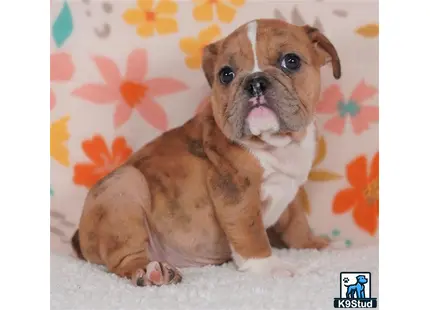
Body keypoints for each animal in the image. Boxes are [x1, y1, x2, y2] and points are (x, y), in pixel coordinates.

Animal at [70, 18, 340, 286]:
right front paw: (269, 266)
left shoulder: (291, 192)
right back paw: (151, 271)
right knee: (125, 260)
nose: (254, 82)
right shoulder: (236, 192)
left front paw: (313, 244)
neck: (275, 143)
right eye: (226, 74)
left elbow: (297, 222)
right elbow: (251, 231)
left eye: (291, 61)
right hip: (123, 185)